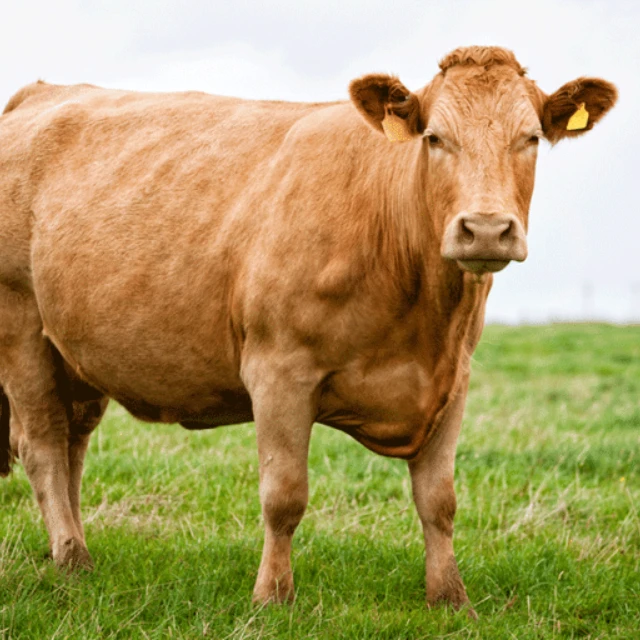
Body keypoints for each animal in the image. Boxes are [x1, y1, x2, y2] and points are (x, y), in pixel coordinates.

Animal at [0, 46, 616, 615]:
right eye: (435, 137)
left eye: (530, 137)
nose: (485, 229)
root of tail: (37, 93)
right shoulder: (278, 371)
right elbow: (284, 496)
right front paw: (272, 596)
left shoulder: (453, 379)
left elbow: (439, 500)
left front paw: (449, 597)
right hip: (22, 327)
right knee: (43, 445)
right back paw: (71, 557)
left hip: (73, 353)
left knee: (73, 443)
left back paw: (74, 551)